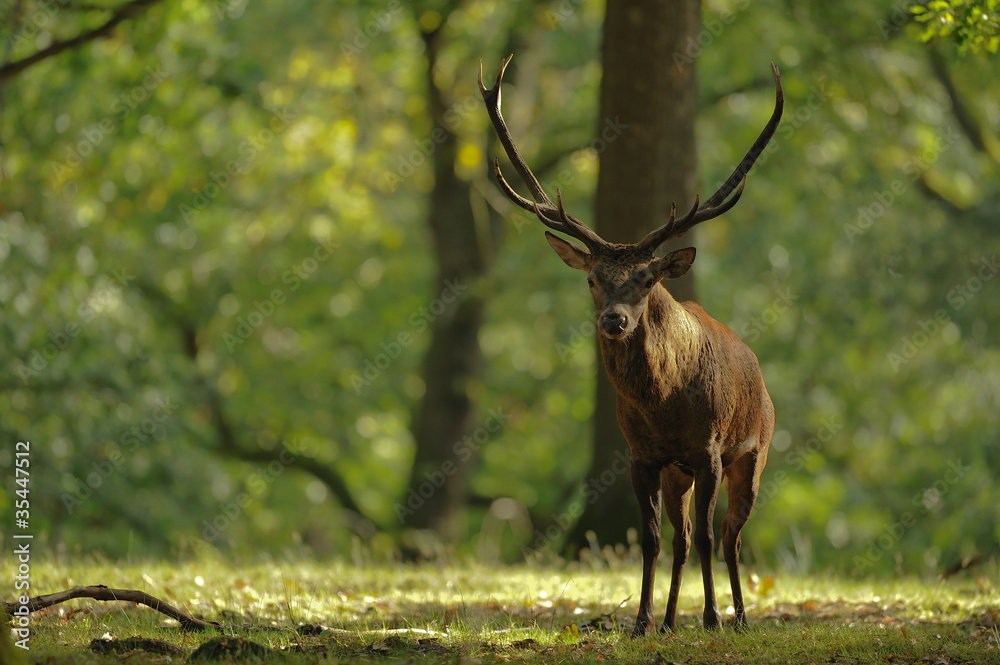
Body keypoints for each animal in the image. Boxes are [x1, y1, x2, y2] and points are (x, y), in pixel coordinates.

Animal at [479, 56, 783, 634]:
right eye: (592, 278)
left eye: (645, 279)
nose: (614, 321)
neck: (663, 407)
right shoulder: (641, 455)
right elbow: (651, 539)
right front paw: (641, 621)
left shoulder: (709, 449)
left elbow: (708, 537)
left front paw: (711, 617)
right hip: (678, 473)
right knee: (684, 539)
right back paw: (668, 621)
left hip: (754, 451)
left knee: (730, 537)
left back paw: (738, 617)